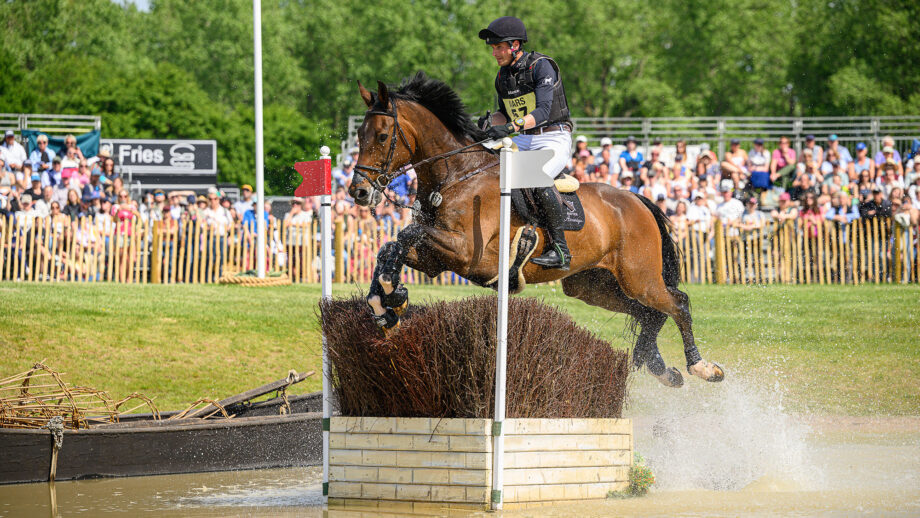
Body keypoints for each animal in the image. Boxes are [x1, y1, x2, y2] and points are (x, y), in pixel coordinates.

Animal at [349, 72, 723, 387]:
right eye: (358, 136)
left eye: (382, 136)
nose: (358, 192)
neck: (457, 174)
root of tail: (635, 199)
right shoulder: (435, 259)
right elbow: (391, 248)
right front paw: (386, 304)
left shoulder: (468, 253)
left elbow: (404, 236)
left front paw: (392, 296)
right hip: (592, 285)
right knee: (648, 313)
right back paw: (660, 367)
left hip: (639, 277)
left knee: (677, 304)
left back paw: (701, 367)